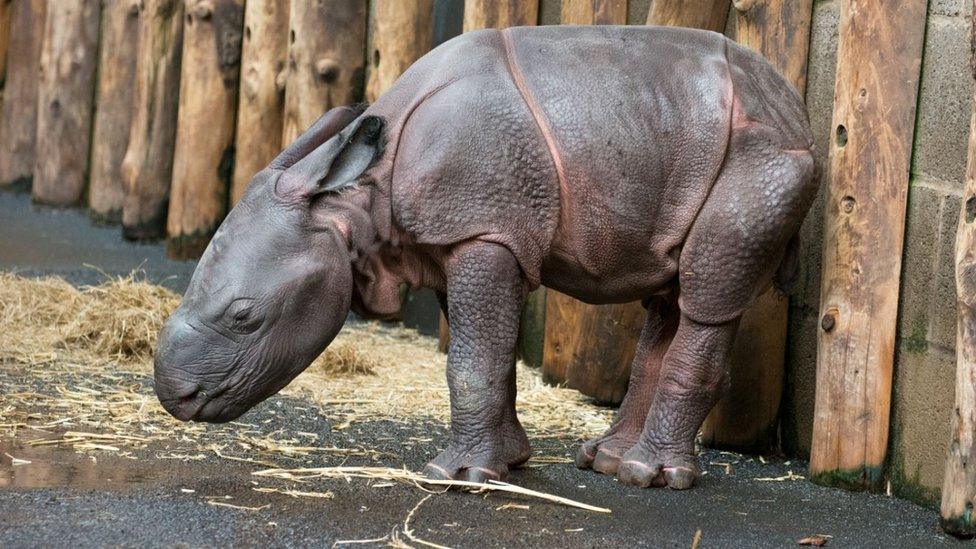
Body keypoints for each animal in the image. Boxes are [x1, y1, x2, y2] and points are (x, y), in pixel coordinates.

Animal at [156, 24, 820, 488]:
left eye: (245, 317)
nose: (176, 399)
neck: (354, 202)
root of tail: (796, 107)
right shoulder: (464, 232)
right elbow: (489, 355)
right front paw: (507, 464)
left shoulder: (484, 229)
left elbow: (474, 358)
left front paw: (454, 477)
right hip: (678, 143)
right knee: (670, 293)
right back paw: (607, 462)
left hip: (762, 158)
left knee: (709, 290)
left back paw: (647, 477)